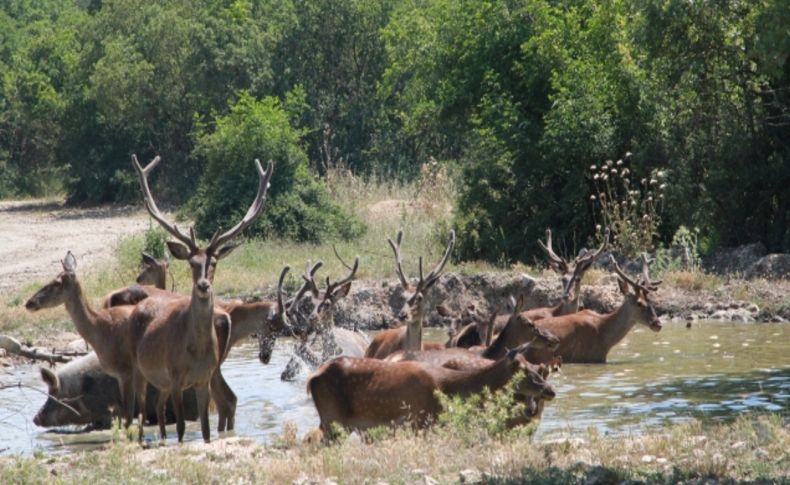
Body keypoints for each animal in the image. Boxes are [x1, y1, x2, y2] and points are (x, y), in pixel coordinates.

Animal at [130, 153, 276, 440]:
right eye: (192, 263)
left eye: (214, 263)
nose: (203, 285)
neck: (195, 350)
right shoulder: (176, 377)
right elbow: (182, 427)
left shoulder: (203, 378)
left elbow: (207, 431)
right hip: (140, 369)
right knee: (142, 410)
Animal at [308, 340, 556, 438]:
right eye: (521, 370)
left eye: (536, 367)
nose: (550, 390)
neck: (449, 388)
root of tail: (311, 379)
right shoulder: (420, 422)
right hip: (332, 419)